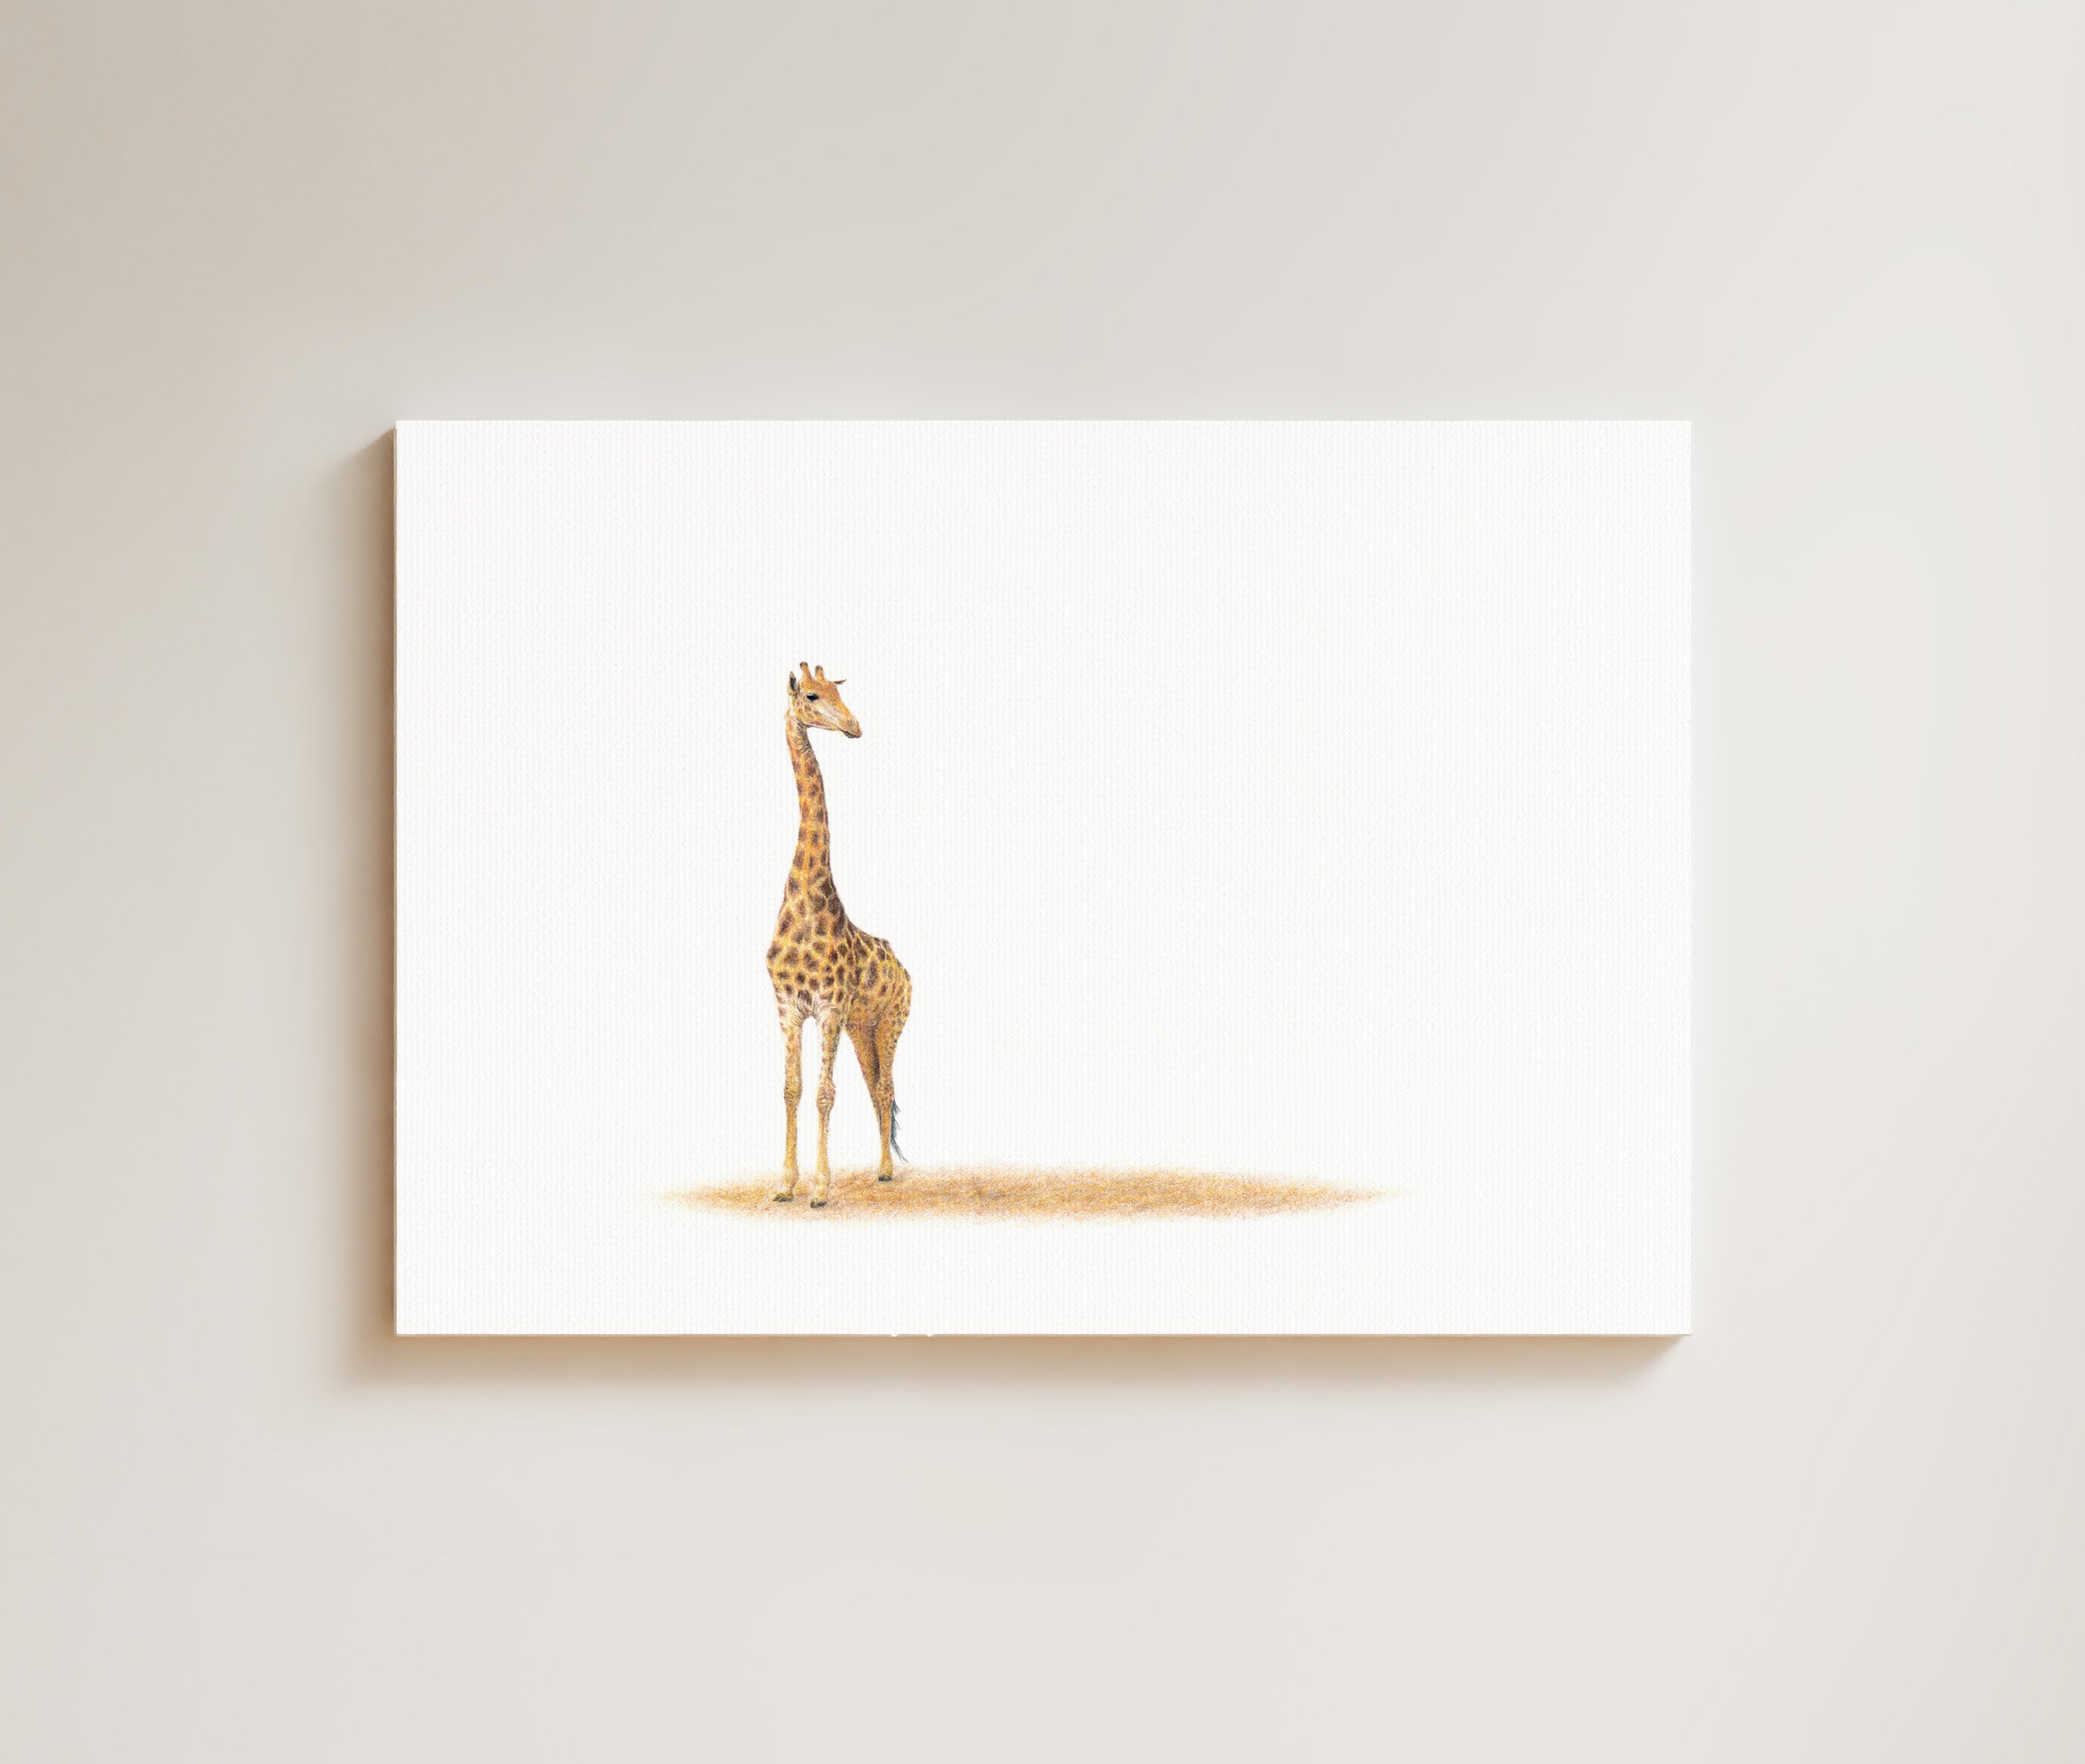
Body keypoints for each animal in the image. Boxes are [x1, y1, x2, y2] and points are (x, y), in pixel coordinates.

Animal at [767, 664, 912, 1206]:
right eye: (811, 695)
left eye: (837, 692)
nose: (854, 727)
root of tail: (904, 969)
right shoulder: (789, 1007)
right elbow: (792, 1088)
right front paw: (785, 1184)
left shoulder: (829, 1006)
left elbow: (826, 1093)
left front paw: (821, 1189)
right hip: (862, 1029)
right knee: (877, 1087)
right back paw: (881, 1167)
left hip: (889, 1023)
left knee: (886, 1088)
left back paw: (887, 1171)